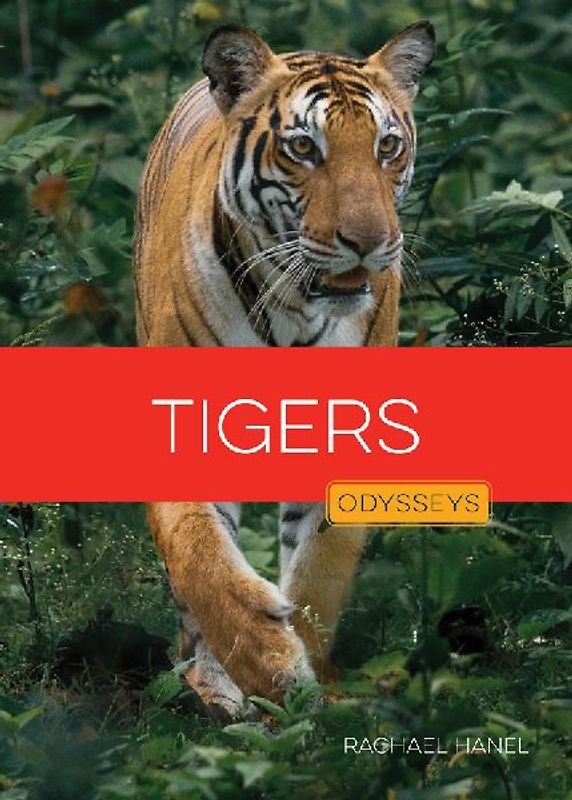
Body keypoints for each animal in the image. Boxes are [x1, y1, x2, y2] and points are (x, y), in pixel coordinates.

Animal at [134, 21, 435, 718]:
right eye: (303, 148)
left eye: (387, 146)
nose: (367, 242)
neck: (294, 308)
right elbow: (201, 553)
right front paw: (266, 667)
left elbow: (322, 565)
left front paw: (308, 679)